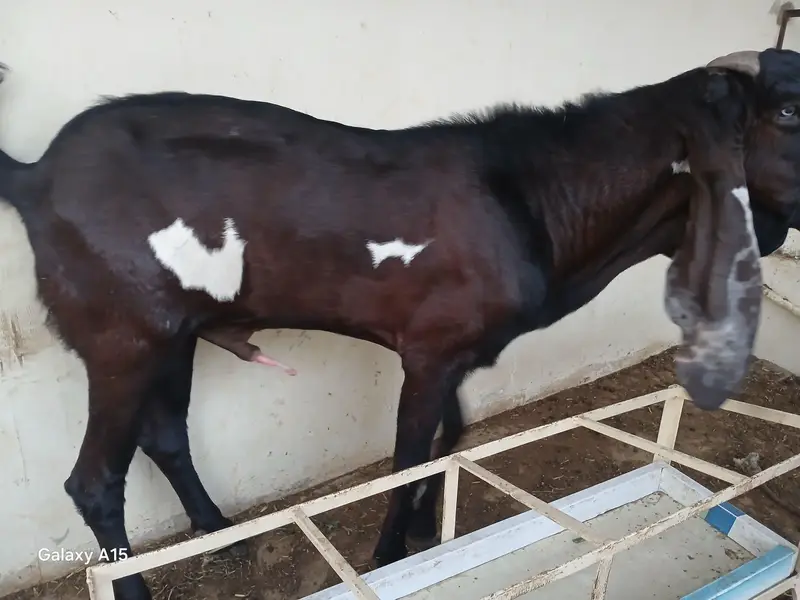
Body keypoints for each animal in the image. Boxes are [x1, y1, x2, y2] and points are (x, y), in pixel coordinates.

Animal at [1, 48, 800, 600]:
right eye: (787, 112)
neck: (532, 198)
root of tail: (36, 175)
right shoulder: (432, 347)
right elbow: (413, 452)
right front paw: (392, 554)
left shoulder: (457, 351)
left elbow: (454, 434)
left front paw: (423, 525)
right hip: (121, 333)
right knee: (95, 479)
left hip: (175, 332)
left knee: (165, 435)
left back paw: (221, 533)